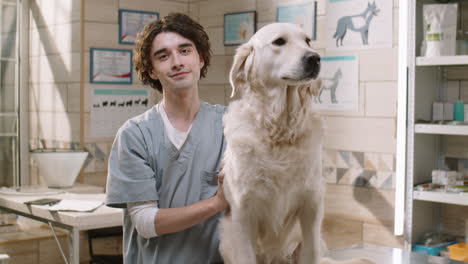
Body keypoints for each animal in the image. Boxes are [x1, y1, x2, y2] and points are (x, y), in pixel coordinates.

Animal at [219, 23, 376, 264]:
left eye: (307, 41)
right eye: (279, 42)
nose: (314, 58)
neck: (280, 131)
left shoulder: (311, 207)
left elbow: (311, 251)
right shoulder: (242, 212)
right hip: (227, 239)